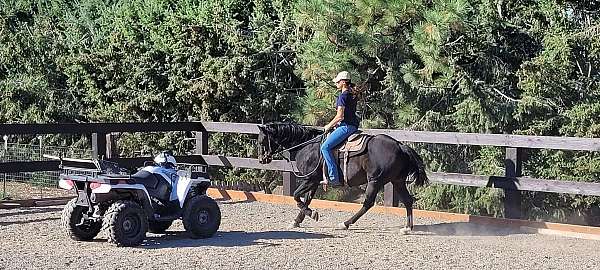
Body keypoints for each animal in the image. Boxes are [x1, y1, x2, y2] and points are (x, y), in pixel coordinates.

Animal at [256, 123, 426, 231]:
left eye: (261, 140)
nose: (261, 159)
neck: (307, 146)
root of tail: (400, 145)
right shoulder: (315, 181)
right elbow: (307, 199)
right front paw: (297, 221)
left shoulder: (309, 179)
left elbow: (297, 196)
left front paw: (312, 214)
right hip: (397, 181)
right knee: (407, 201)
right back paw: (407, 227)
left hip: (375, 181)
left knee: (368, 203)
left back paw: (345, 223)